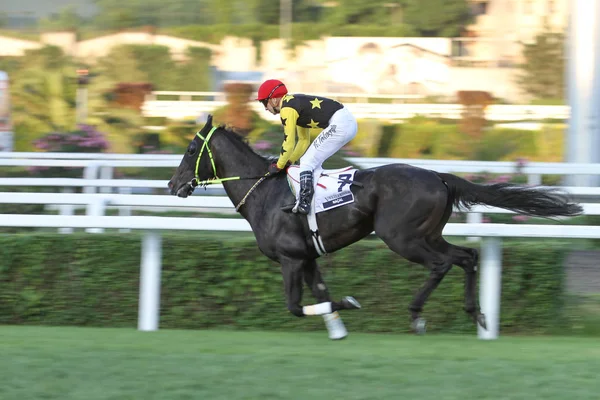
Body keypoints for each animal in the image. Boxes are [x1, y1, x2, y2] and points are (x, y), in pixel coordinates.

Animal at [168, 115, 580, 338]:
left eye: (190, 150)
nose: (173, 185)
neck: (265, 194)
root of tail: (439, 177)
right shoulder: (308, 257)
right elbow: (320, 294)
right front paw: (338, 328)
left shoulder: (290, 258)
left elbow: (295, 307)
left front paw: (349, 305)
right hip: (428, 233)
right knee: (466, 256)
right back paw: (475, 313)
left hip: (400, 236)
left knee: (442, 264)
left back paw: (417, 315)